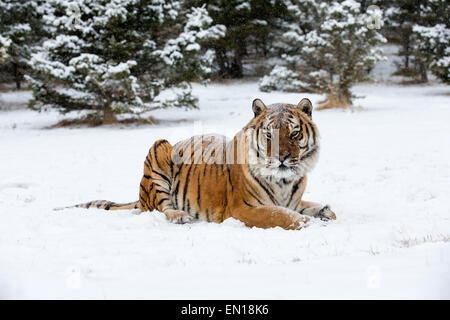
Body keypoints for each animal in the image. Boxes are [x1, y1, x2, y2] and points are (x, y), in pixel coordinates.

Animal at [66, 98, 334, 230]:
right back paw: (180, 216)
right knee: (161, 208)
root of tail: (140, 197)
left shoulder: (293, 200)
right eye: (269, 135)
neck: (284, 180)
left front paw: (325, 211)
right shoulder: (244, 208)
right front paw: (309, 224)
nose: (282, 158)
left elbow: (311, 207)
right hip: (159, 148)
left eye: (294, 134)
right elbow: (283, 216)